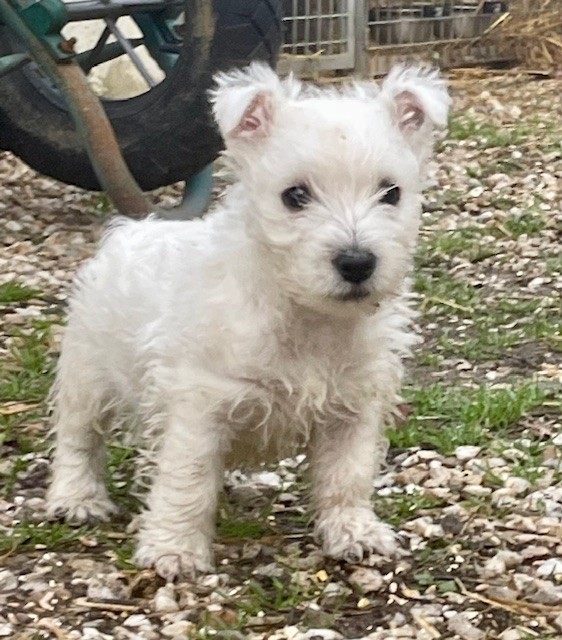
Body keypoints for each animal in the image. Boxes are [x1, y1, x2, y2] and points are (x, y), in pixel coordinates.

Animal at [46, 63, 448, 580]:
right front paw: (175, 549)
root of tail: (131, 229)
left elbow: (348, 474)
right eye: (295, 195)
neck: (306, 317)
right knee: (79, 437)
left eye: (391, 192)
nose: (357, 262)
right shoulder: (198, 404)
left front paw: (354, 531)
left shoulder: (354, 407)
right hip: (87, 372)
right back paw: (77, 497)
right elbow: (188, 479)